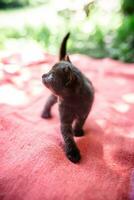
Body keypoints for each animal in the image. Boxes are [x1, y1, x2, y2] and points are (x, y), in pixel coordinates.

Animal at [41, 32, 94, 163]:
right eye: (48, 71)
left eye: (51, 76)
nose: (43, 75)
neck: (74, 101)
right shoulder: (65, 119)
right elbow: (68, 137)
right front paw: (73, 153)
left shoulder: (85, 112)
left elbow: (80, 122)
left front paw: (78, 131)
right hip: (54, 96)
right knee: (48, 101)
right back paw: (45, 113)